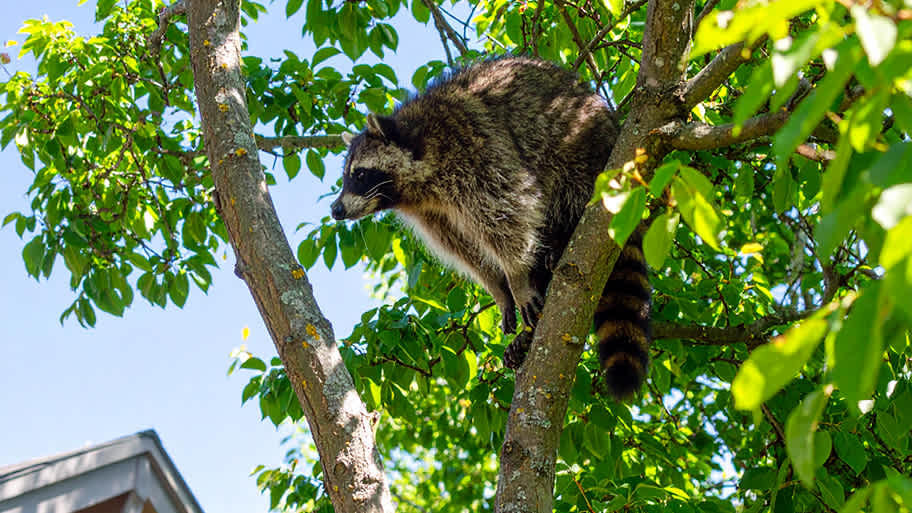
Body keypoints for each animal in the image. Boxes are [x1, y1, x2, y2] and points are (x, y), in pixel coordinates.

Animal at [330, 57, 651, 400]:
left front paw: (517, 277)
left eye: (360, 174)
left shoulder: (475, 150)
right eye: (347, 176)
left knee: (569, 189)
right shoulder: (433, 213)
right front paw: (498, 287)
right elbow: (465, 248)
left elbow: (509, 211)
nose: (335, 210)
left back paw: (559, 242)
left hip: (584, 155)